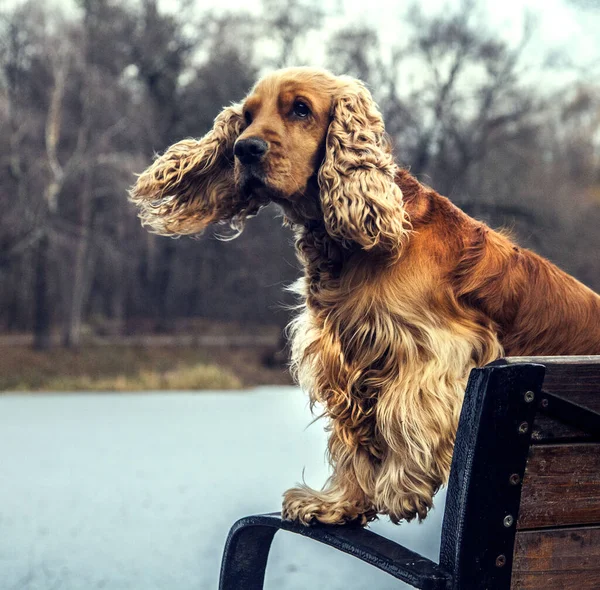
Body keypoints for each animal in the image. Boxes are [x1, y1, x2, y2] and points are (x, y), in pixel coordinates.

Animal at [130, 68, 600, 528]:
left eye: (300, 109)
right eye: (247, 116)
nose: (245, 149)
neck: (358, 243)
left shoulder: (434, 350)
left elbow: (406, 415)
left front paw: (401, 490)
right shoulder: (345, 358)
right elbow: (353, 439)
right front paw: (338, 505)